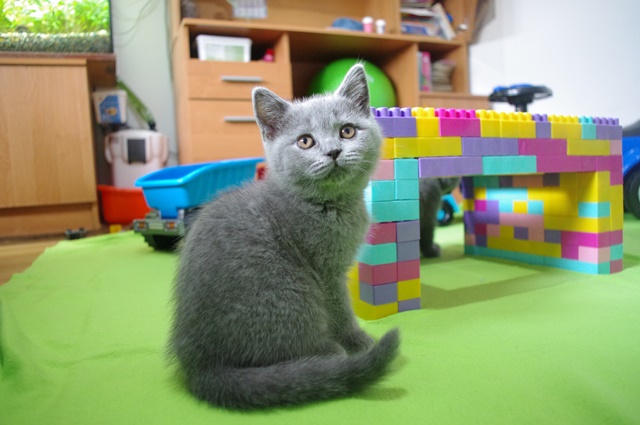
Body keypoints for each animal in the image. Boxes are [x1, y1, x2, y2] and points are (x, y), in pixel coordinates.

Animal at [169, 65, 400, 410]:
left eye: (347, 131)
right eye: (305, 141)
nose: (334, 151)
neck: (328, 205)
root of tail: (201, 366)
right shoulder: (327, 274)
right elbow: (341, 310)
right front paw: (357, 340)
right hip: (292, 292)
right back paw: (329, 355)